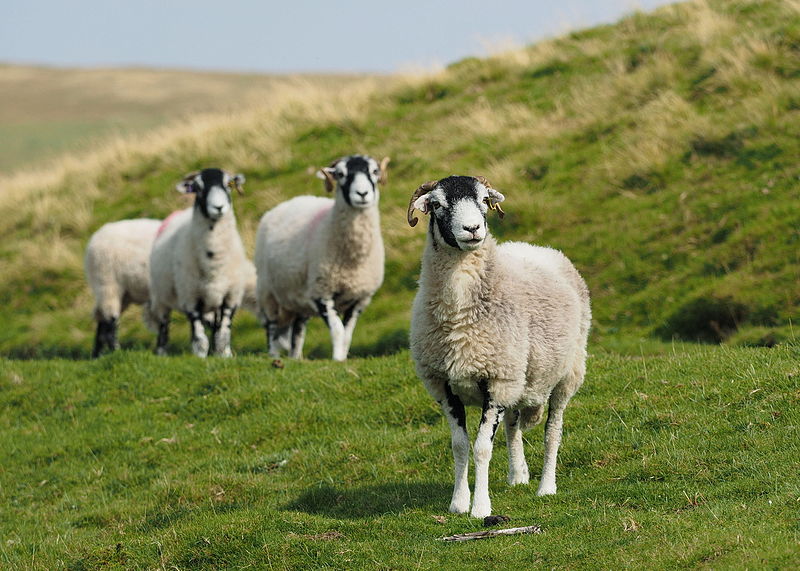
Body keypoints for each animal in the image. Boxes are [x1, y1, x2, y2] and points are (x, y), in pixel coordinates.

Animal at [83, 218, 162, 358]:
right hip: (108, 283)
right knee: (110, 321)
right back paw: (116, 352)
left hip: (122, 293)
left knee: (102, 320)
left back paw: (97, 355)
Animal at [146, 168, 247, 360]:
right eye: (198, 188)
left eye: (229, 184)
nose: (218, 208)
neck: (213, 260)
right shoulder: (190, 297)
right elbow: (200, 337)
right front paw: (200, 357)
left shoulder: (231, 296)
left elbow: (223, 332)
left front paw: (224, 355)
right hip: (161, 295)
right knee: (163, 326)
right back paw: (161, 353)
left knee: (215, 327)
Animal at [255, 153, 390, 362]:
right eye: (341, 174)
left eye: (374, 171)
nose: (362, 194)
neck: (352, 258)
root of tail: (288, 202)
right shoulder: (321, 292)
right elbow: (338, 331)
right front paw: (337, 360)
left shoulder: (360, 299)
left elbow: (347, 335)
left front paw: (342, 357)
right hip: (268, 293)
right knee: (271, 329)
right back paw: (273, 357)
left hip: (299, 300)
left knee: (297, 332)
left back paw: (296, 359)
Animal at [410, 173, 592, 520]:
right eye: (437, 204)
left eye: (484, 200)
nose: (472, 229)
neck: (459, 316)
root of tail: (537, 247)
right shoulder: (444, 385)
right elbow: (459, 445)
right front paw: (458, 503)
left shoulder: (496, 381)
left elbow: (482, 447)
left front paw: (480, 507)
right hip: (520, 380)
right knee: (513, 425)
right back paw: (518, 474)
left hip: (566, 373)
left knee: (553, 429)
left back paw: (546, 486)